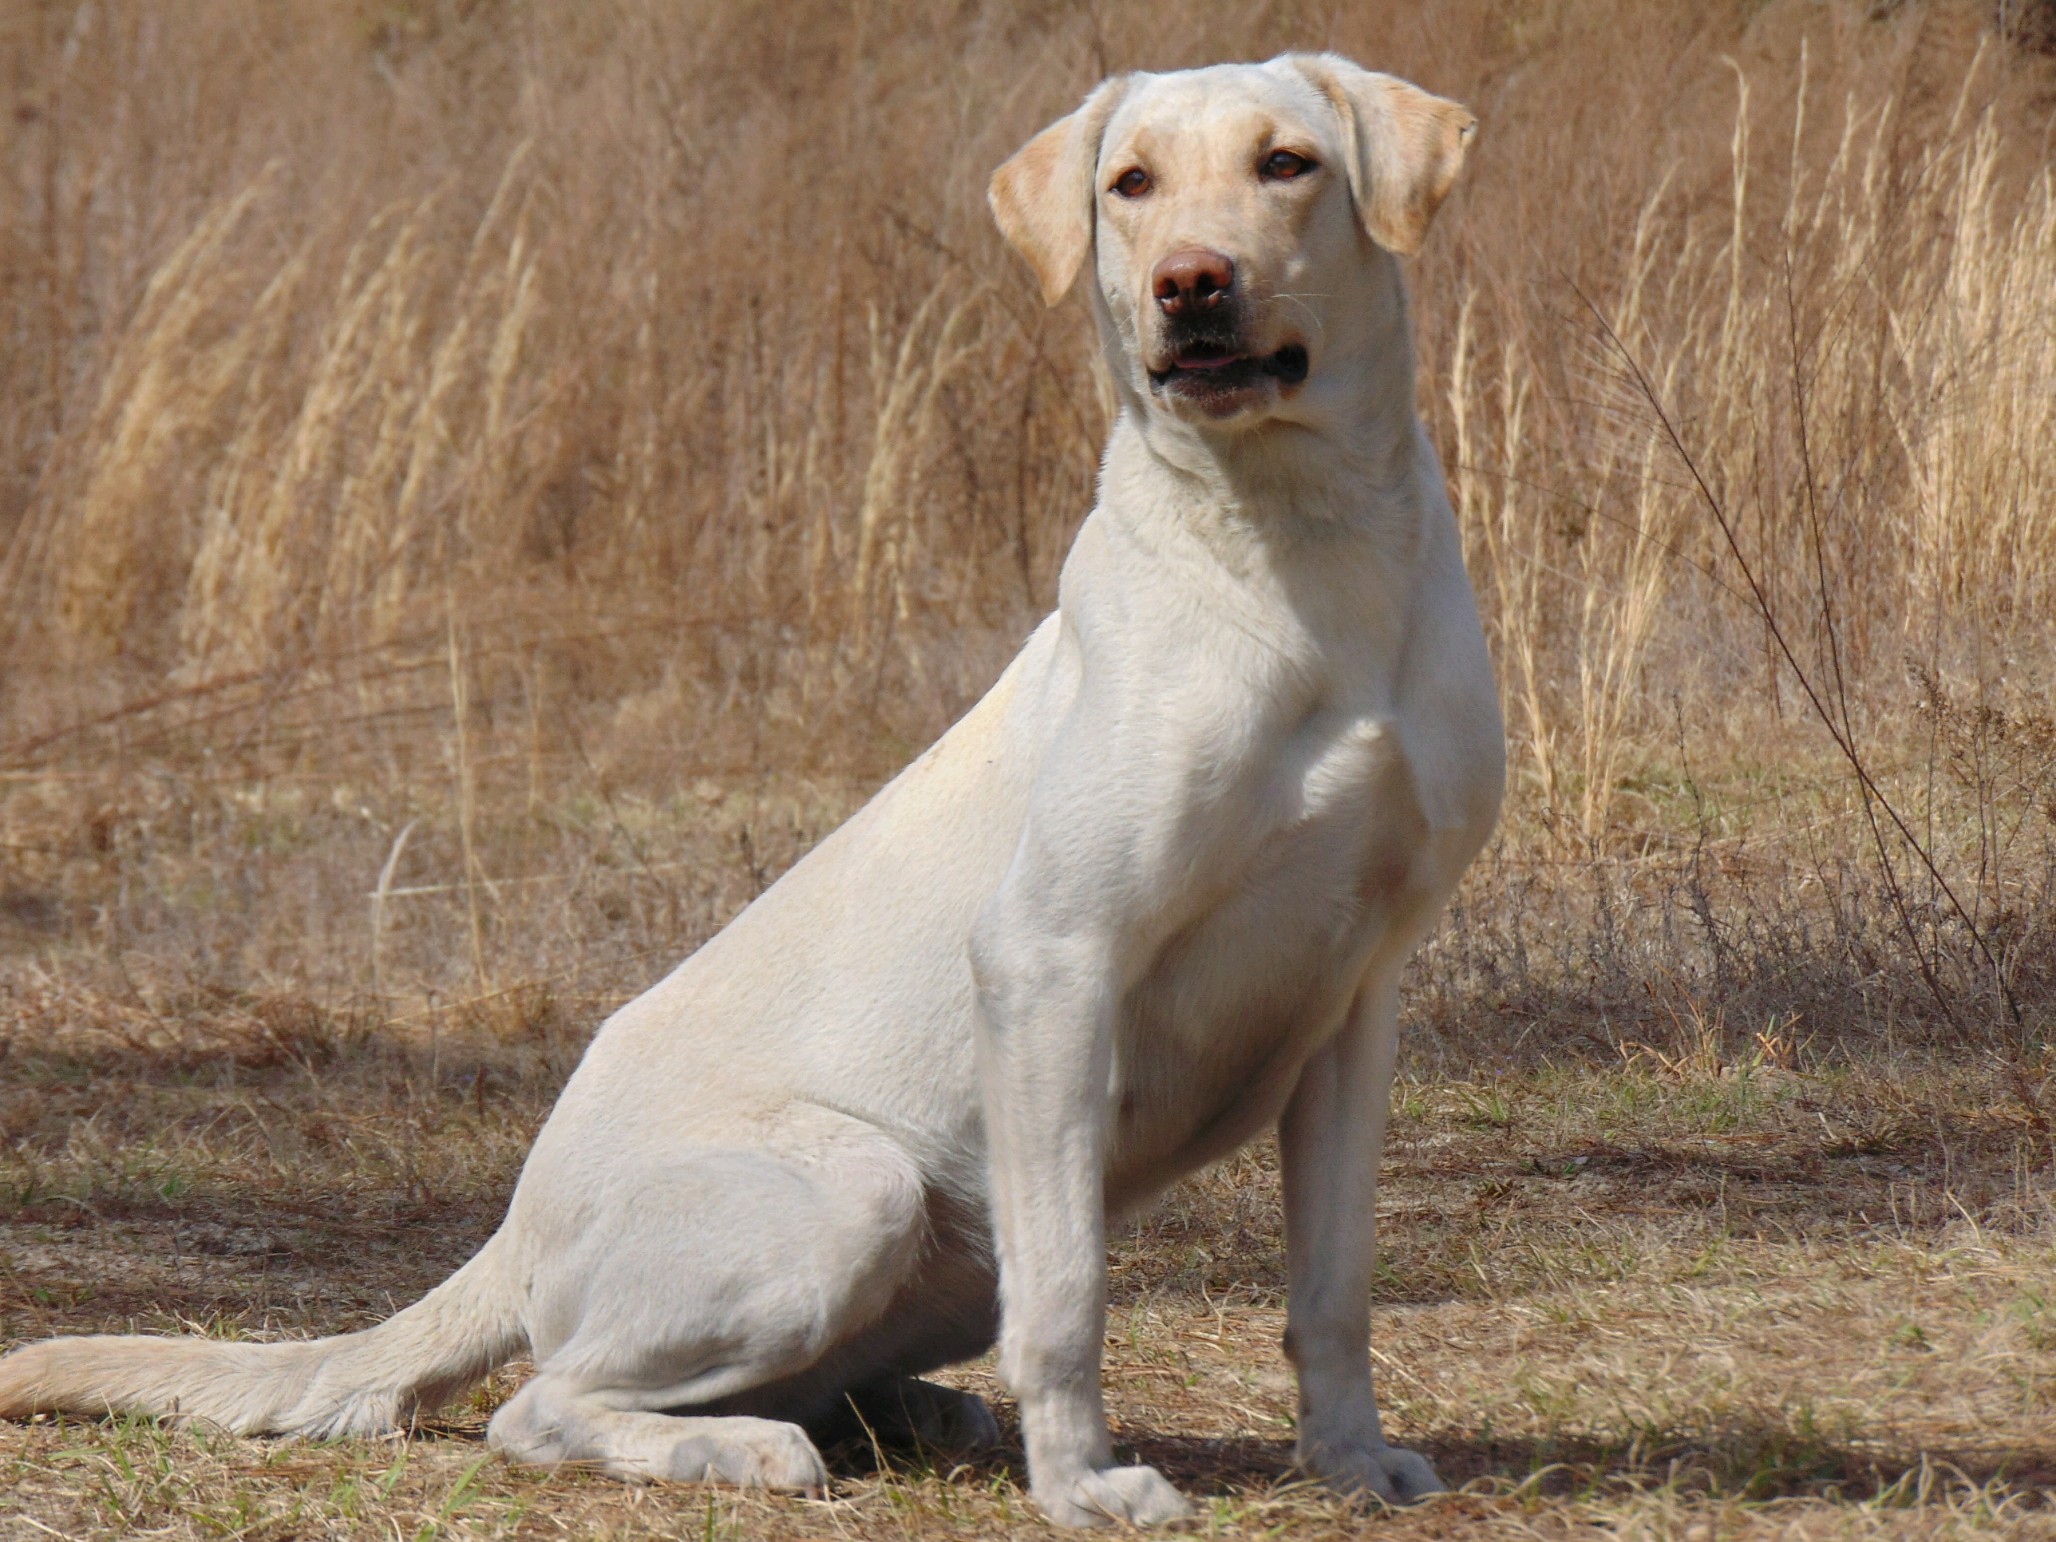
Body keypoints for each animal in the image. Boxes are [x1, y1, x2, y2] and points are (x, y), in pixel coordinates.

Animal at [0, 54, 1496, 1529]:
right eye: (1129, 184)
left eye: (1286, 163)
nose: (1190, 282)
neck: (1304, 542)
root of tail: (516, 1226)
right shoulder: (1054, 959)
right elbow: (1071, 1293)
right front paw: (1080, 1485)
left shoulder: (1353, 1000)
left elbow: (1332, 1291)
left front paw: (1353, 1463)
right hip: (860, 1189)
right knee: (538, 1403)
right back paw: (756, 1449)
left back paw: (916, 1414)